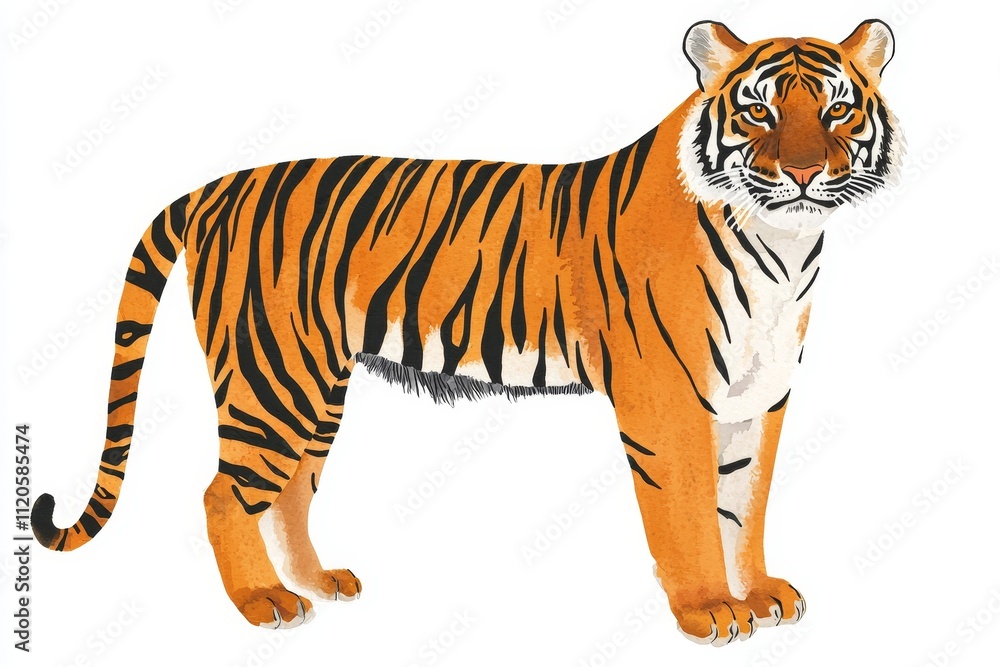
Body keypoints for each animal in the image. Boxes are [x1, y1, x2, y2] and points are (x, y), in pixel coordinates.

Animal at [32, 19, 901, 646]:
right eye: (758, 109)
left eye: (836, 108)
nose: (801, 173)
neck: (783, 247)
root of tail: (215, 186)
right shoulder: (667, 402)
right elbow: (688, 513)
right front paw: (709, 610)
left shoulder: (758, 396)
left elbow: (745, 506)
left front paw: (759, 594)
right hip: (269, 375)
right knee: (224, 493)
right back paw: (261, 602)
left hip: (315, 385)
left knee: (289, 490)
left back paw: (315, 584)